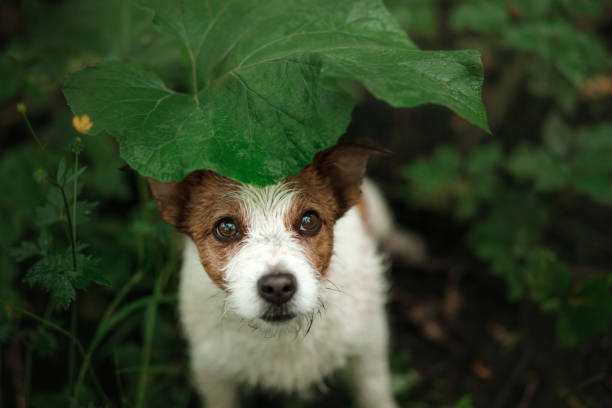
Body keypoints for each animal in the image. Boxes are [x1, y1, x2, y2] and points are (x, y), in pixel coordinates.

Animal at [148, 145, 426, 406]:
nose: (278, 287)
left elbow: (374, 392)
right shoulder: (212, 372)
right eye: (226, 228)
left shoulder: (368, 343)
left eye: (309, 220)